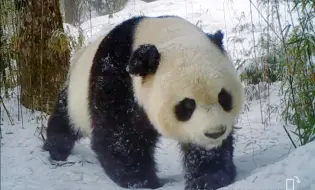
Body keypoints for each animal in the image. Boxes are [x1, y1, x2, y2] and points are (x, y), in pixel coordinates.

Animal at [43, 15, 246, 190]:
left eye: (224, 97)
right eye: (187, 105)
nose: (215, 133)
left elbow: (203, 150)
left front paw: (207, 179)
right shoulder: (115, 79)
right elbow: (119, 136)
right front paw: (142, 181)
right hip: (74, 95)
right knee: (64, 120)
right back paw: (55, 150)